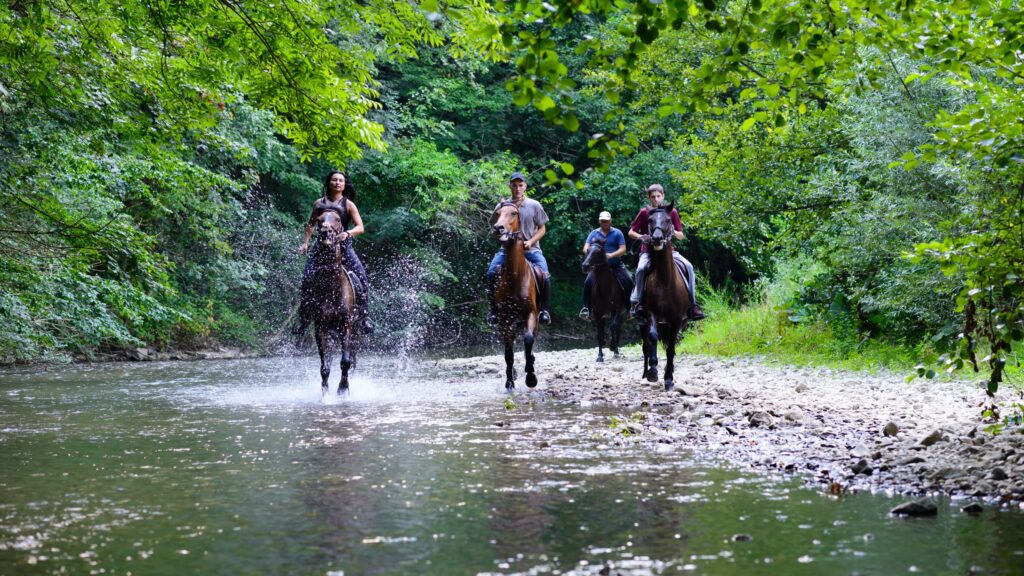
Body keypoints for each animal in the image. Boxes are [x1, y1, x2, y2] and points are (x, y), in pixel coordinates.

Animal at [305, 210, 358, 393]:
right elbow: (325, 366)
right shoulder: (321, 327)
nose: (325, 232)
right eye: (320, 219)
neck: (332, 288)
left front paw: (343, 389)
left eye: (337, 219)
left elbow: (346, 361)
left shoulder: (346, 325)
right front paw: (325, 393)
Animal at [489, 199, 540, 387]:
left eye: (514, 213)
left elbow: (528, 340)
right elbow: (508, 352)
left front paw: (531, 377)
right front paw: (510, 381)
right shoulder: (505, 319)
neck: (515, 277)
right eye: (497, 213)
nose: (498, 228)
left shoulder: (531, 313)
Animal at [638, 204, 688, 389]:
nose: (657, 238)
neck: (665, 281)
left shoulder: (676, 319)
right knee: (646, 345)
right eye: (650, 220)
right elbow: (653, 337)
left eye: (668, 220)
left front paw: (668, 379)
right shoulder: (651, 313)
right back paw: (645, 373)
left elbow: (671, 347)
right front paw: (653, 372)